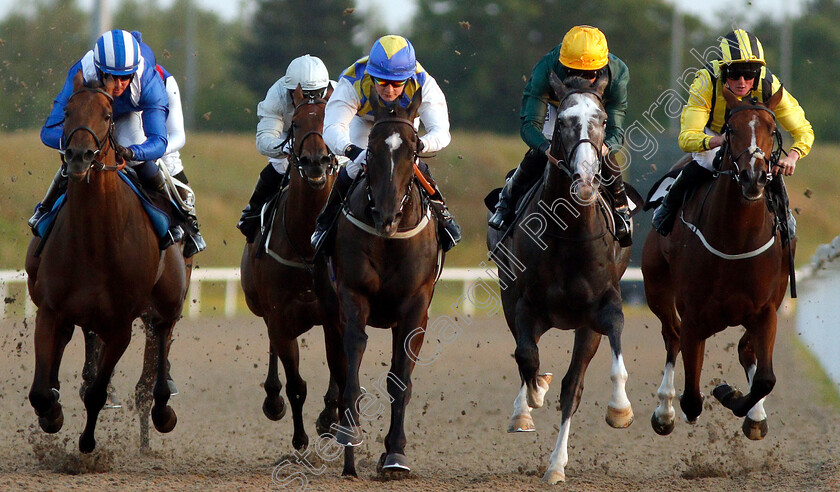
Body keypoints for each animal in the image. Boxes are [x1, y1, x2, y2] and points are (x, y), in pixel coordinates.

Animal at [23, 71, 188, 452]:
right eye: (66, 111)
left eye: (108, 115)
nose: (79, 156)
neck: (94, 242)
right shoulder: (50, 309)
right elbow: (40, 392)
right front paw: (52, 413)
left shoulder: (120, 325)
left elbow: (97, 392)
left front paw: (87, 443)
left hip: (167, 302)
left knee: (161, 342)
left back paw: (161, 410)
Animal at [240, 83, 344, 450]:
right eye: (296, 124)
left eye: (329, 120)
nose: (315, 162)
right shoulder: (280, 317)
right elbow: (296, 384)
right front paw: (299, 439)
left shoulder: (335, 316)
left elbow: (339, 375)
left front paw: (329, 418)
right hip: (263, 307)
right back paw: (273, 400)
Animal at [316, 88, 440, 476]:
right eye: (370, 149)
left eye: (413, 150)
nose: (386, 215)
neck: (389, 239)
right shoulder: (352, 296)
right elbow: (353, 359)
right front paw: (349, 435)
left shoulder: (416, 306)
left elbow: (400, 380)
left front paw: (396, 454)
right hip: (329, 313)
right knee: (340, 368)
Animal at [486, 74, 636, 484]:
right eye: (566, 121)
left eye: (602, 119)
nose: (585, 180)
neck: (569, 233)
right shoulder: (523, 304)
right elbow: (527, 357)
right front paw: (533, 397)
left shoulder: (602, 308)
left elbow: (584, 379)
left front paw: (620, 409)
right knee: (526, 356)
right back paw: (525, 407)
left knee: (571, 385)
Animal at [644, 86, 796, 440]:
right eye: (732, 130)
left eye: (772, 129)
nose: (754, 177)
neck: (735, 238)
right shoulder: (694, 316)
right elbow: (692, 399)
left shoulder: (766, 310)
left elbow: (765, 379)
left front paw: (735, 398)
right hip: (656, 287)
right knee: (671, 335)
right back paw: (664, 411)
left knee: (746, 350)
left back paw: (754, 414)